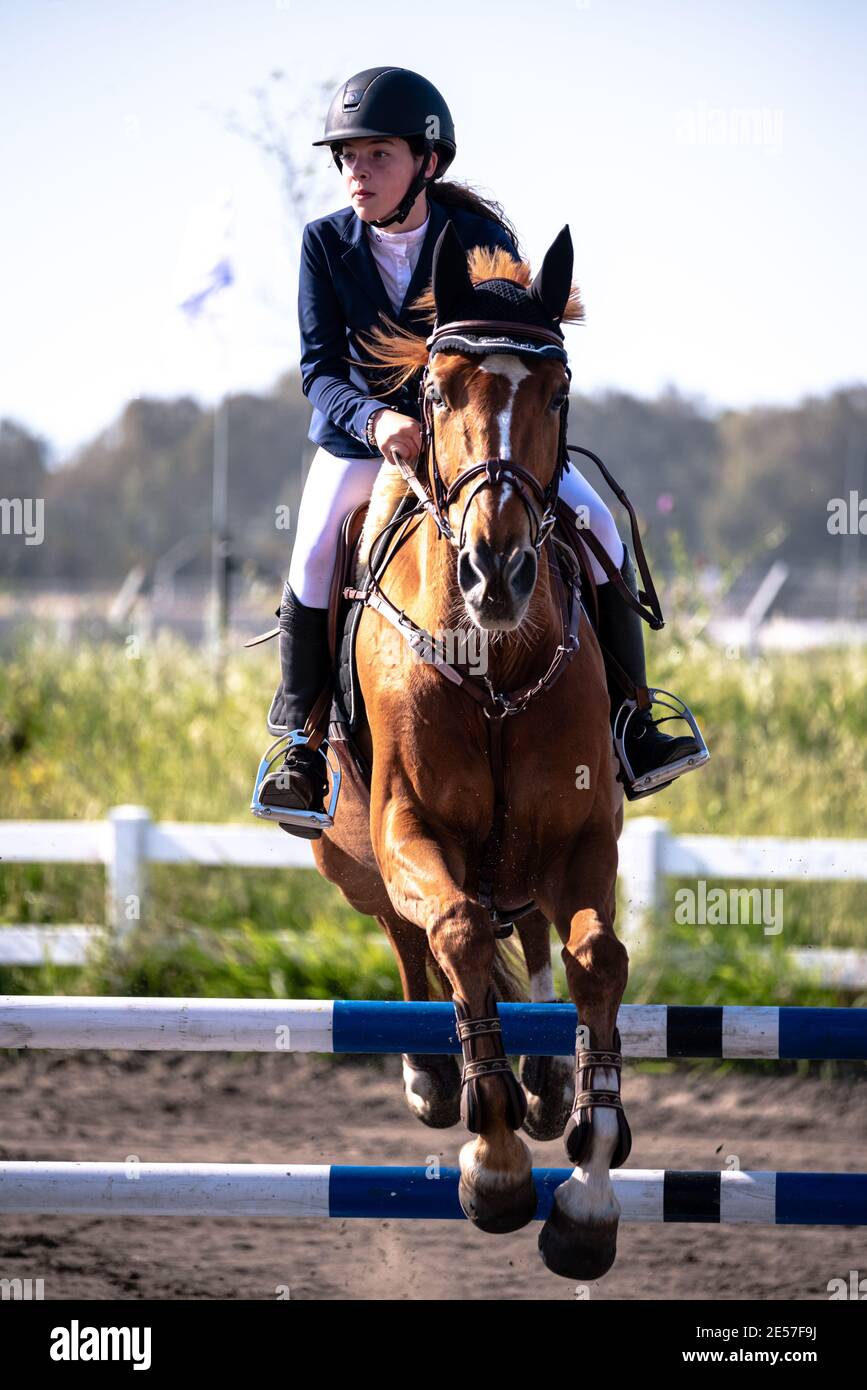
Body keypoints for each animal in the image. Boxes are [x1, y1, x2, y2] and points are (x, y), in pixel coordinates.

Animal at [311, 222, 630, 1273]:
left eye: (557, 392)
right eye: (439, 391)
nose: (498, 573)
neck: (492, 659)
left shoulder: (582, 836)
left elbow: (596, 957)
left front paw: (589, 1181)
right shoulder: (408, 828)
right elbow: (451, 930)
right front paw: (493, 1165)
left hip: (521, 853)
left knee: (523, 931)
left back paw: (545, 1081)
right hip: (349, 854)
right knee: (412, 937)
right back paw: (433, 1075)